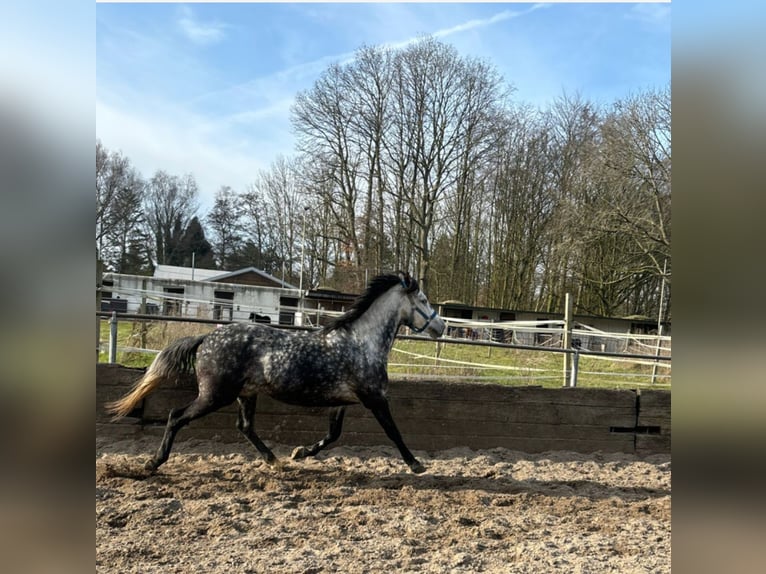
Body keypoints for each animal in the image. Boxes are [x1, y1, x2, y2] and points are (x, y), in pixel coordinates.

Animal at [105, 272, 448, 474]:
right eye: (423, 300)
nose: (441, 326)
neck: (361, 342)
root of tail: (206, 338)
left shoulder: (342, 402)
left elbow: (333, 435)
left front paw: (299, 453)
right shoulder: (374, 398)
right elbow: (393, 431)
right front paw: (416, 464)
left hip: (245, 394)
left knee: (244, 426)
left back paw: (274, 460)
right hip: (215, 395)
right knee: (176, 416)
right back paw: (153, 463)